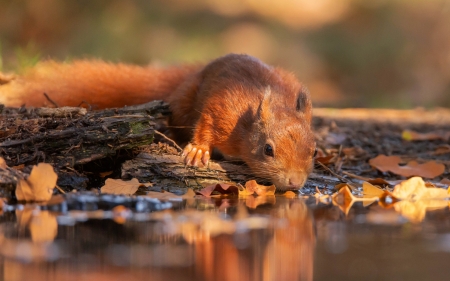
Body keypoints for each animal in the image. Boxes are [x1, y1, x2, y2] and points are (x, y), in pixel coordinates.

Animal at [0, 53, 316, 189]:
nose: (295, 182)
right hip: (184, 101)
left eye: (314, 151)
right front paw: (198, 150)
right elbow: (206, 124)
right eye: (268, 149)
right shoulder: (224, 107)